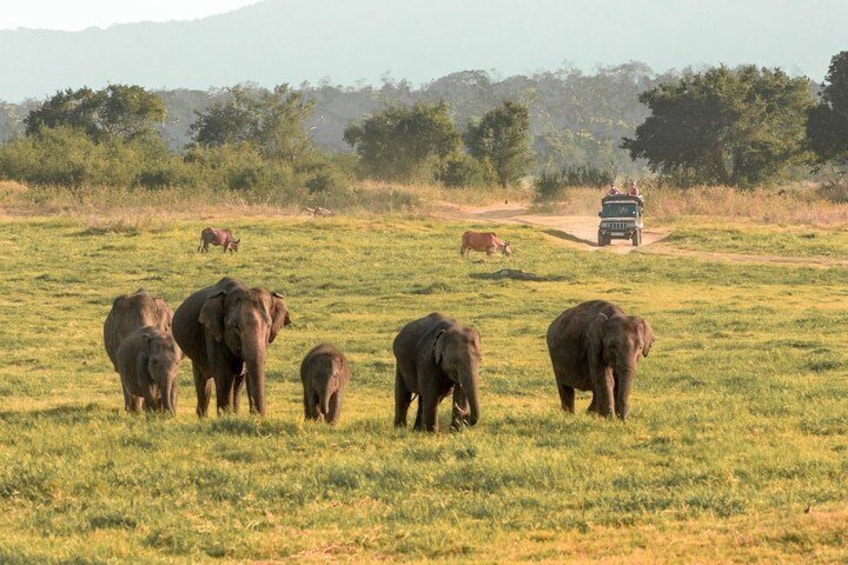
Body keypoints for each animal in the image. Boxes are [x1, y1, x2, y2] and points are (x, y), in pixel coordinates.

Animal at [171, 276, 294, 416]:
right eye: (236, 326)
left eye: (268, 325)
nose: (260, 414)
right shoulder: (213, 333)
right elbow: (224, 374)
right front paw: (225, 417)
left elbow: (247, 374)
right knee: (203, 382)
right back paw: (203, 417)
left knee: (237, 384)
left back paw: (235, 413)